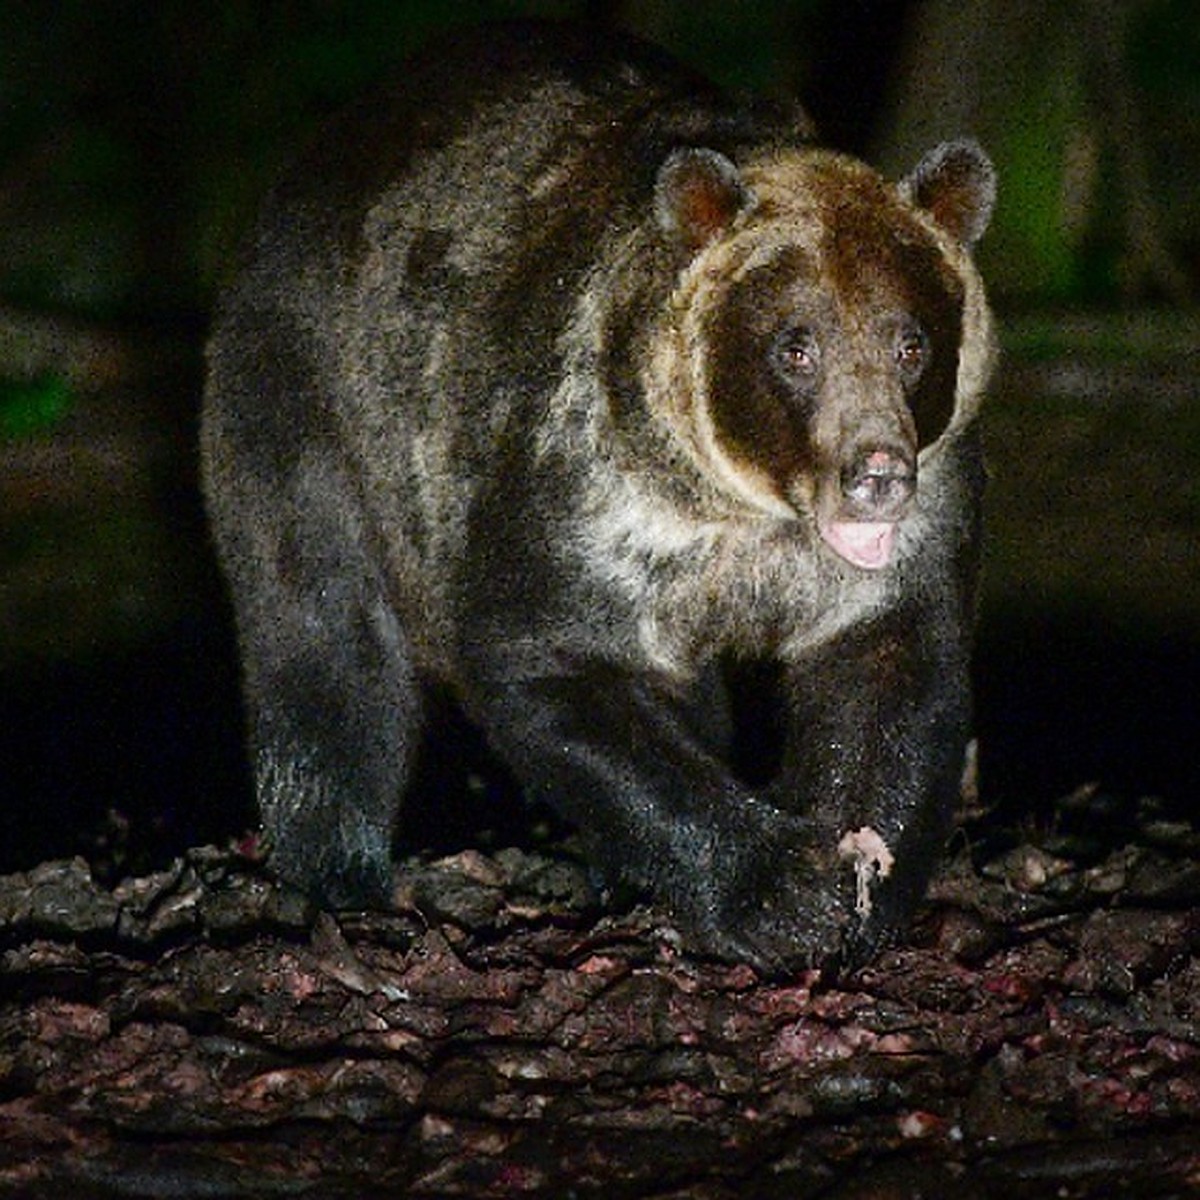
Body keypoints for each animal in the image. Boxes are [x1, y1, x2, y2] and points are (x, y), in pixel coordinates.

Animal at [204, 21, 993, 974]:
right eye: (795, 346)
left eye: (911, 342)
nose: (875, 475)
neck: (742, 512)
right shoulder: (583, 492)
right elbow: (550, 665)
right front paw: (782, 889)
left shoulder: (908, 525)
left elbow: (891, 670)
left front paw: (861, 881)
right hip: (308, 406)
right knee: (323, 639)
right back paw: (338, 875)